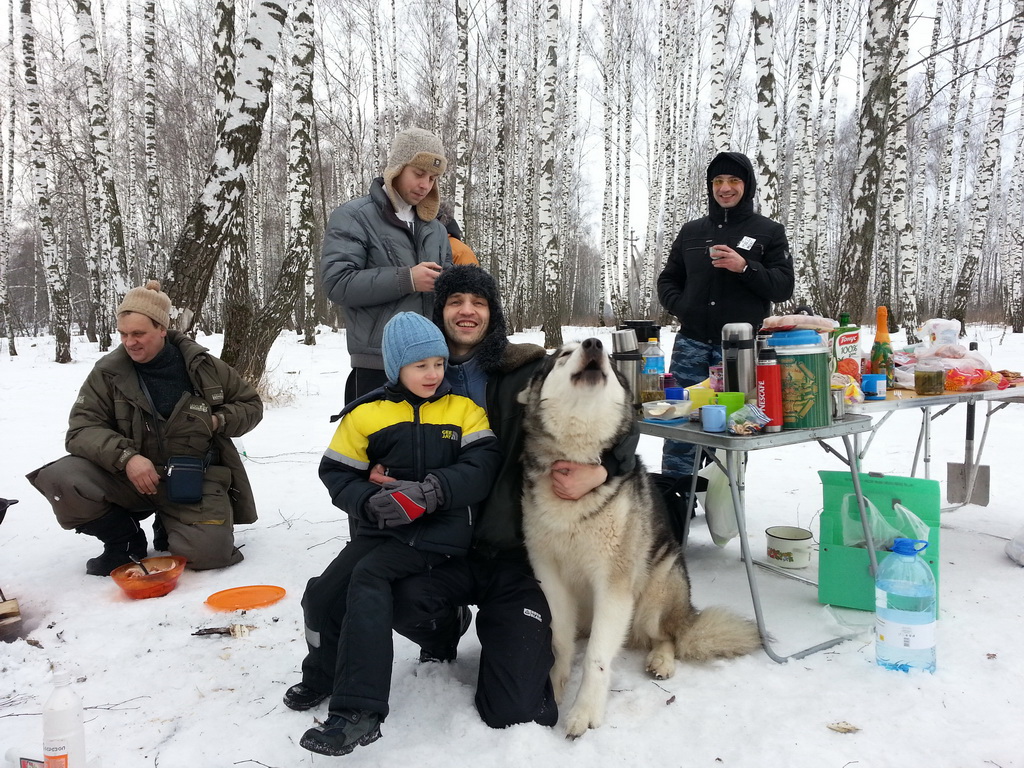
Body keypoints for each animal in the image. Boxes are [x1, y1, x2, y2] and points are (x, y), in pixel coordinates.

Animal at [518, 338, 761, 738]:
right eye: (563, 355)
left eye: (609, 357)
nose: (594, 343)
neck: (578, 461)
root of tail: (686, 611)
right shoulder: (550, 578)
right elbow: (559, 642)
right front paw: (551, 687)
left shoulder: (613, 585)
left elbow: (598, 657)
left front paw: (584, 711)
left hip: (651, 597)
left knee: (668, 637)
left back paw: (661, 659)